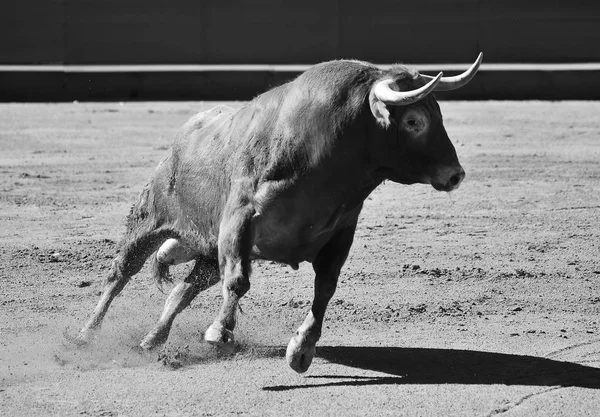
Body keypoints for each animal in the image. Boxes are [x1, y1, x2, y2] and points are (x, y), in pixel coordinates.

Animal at [78, 53, 482, 372]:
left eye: (438, 115)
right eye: (414, 121)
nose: (456, 174)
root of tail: (186, 134)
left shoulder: (340, 232)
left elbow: (325, 289)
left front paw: (301, 350)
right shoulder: (240, 220)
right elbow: (239, 281)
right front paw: (219, 332)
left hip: (207, 250)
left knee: (182, 290)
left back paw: (152, 340)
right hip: (149, 217)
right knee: (119, 274)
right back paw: (86, 334)